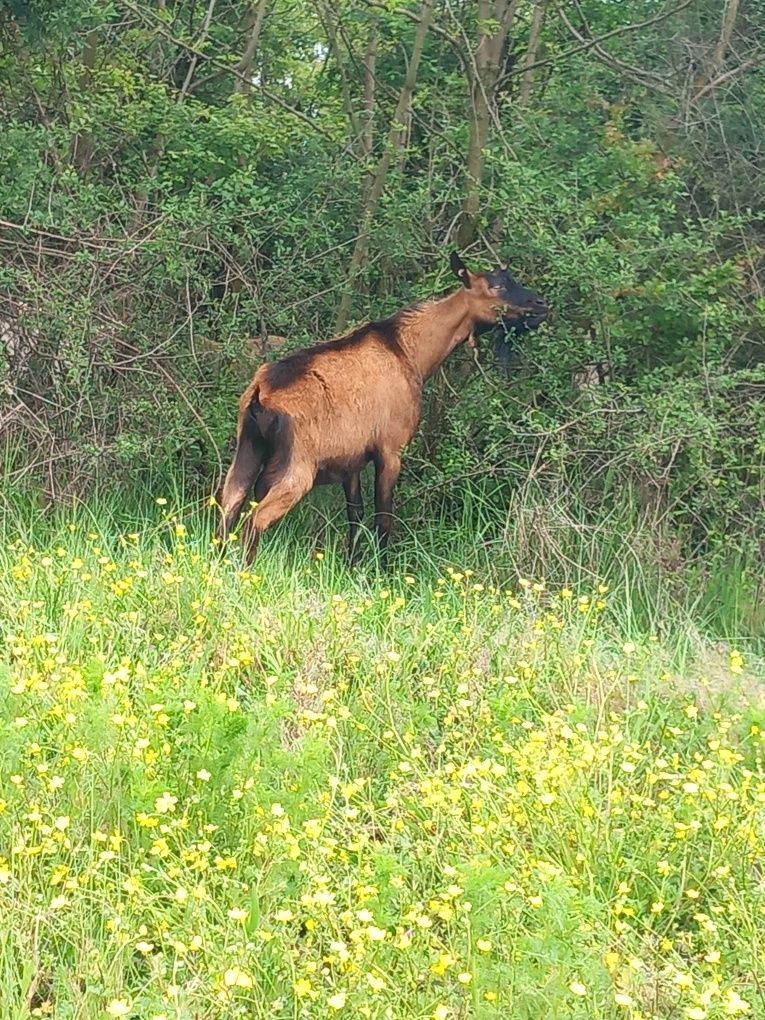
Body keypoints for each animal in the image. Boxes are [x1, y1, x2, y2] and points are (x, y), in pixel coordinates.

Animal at [218, 250, 546, 563]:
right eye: (497, 286)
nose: (541, 304)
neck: (412, 354)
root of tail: (260, 397)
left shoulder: (350, 460)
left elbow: (355, 516)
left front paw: (352, 567)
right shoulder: (390, 448)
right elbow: (383, 519)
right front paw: (380, 572)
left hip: (248, 449)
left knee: (228, 507)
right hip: (297, 466)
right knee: (254, 520)